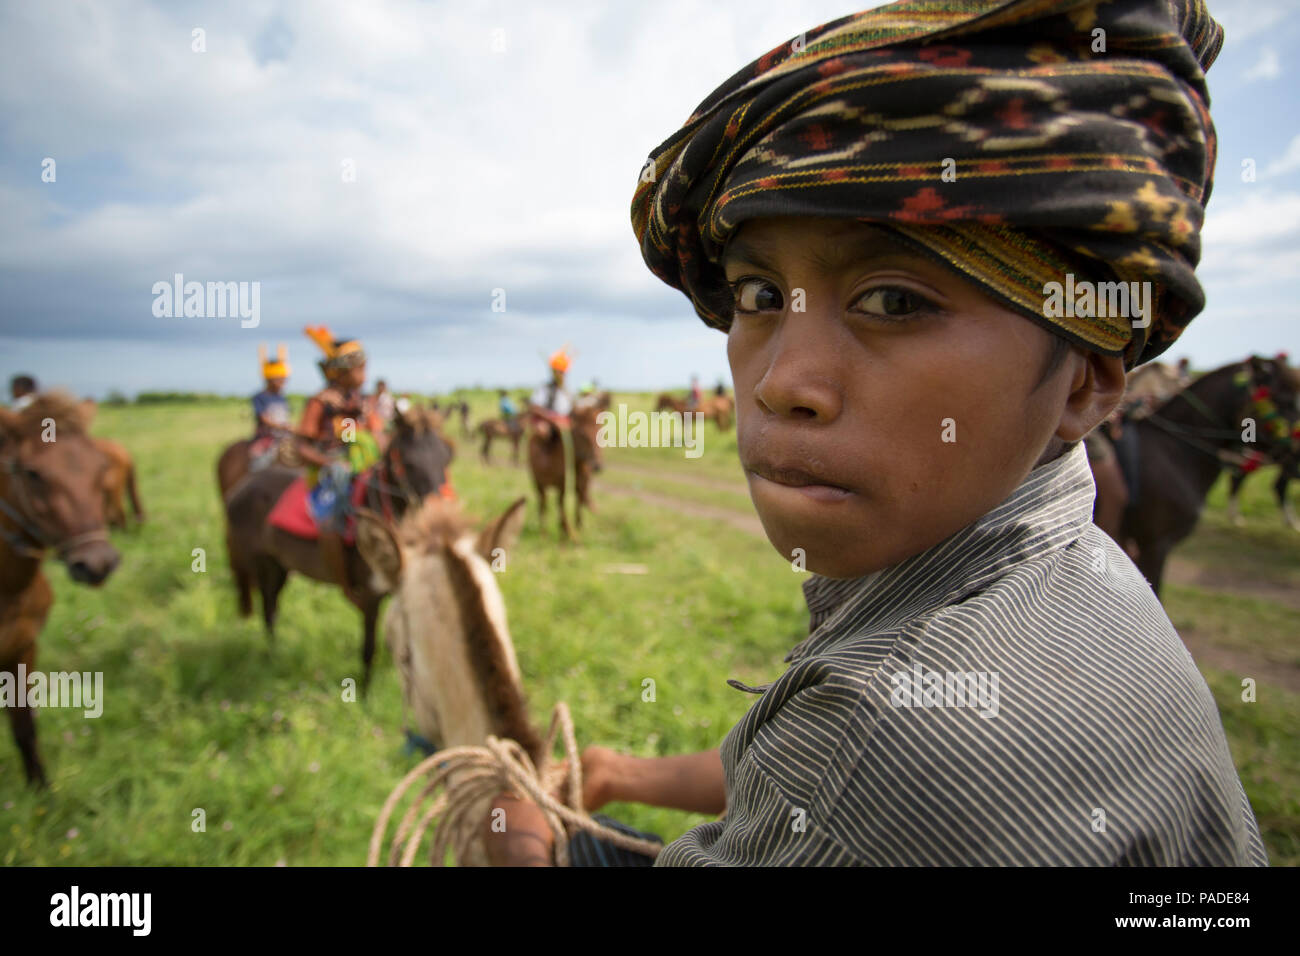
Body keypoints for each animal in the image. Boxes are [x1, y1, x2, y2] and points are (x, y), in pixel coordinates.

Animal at [1, 392, 122, 790]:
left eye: (101, 466)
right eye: (32, 473)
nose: (98, 562)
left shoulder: (23, 648)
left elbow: (24, 726)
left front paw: (40, 790)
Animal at [227, 403, 457, 686]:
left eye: (447, 457)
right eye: (409, 461)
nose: (443, 510)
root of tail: (240, 489)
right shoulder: (370, 596)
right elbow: (369, 649)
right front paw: (366, 693)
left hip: (281, 566)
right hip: (263, 566)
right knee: (268, 609)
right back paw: (272, 656)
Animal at [527, 403, 603, 538]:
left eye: (602, 433)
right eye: (583, 434)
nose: (597, 465)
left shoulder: (581, 483)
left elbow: (578, 502)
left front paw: (578, 527)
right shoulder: (561, 485)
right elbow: (561, 505)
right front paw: (567, 533)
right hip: (537, 482)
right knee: (543, 502)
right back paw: (543, 531)